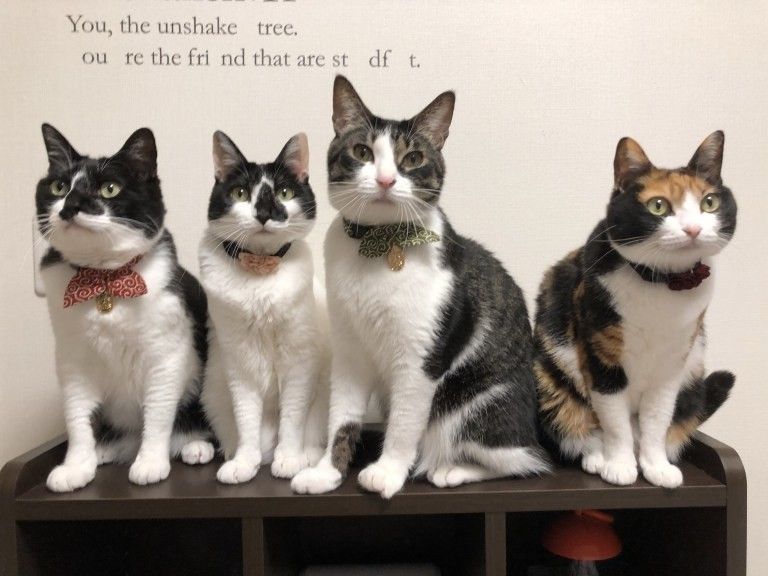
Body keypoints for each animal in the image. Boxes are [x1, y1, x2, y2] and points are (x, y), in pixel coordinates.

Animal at [36, 124, 213, 493]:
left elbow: (158, 413)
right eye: (59, 187)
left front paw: (150, 463)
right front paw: (76, 466)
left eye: (110, 188)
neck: (103, 280)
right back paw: (106, 448)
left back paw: (193, 444)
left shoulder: (165, 356)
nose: (70, 206)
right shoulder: (72, 360)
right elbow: (76, 417)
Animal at [199, 131, 329, 484]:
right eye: (240, 193)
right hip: (213, 391)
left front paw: (289, 458)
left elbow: (293, 417)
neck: (260, 270)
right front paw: (244, 462)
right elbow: (245, 418)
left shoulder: (299, 361)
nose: (264, 213)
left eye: (284, 192)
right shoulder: (238, 363)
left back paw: (304, 456)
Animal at [291, 76, 550, 499]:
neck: (378, 244)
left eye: (412, 158)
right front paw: (327, 471)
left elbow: (404, 421)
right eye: (362, 152)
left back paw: (450, 470)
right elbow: (342, 416)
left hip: (476, 404)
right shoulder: (349, 351)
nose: (385, 180)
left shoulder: (420, 357)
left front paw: (387, 472)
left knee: (522, 461)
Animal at [534, 132, 736, 488]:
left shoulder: (673, 364)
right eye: (658, 206)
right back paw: (598, 458)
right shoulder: (602, 356)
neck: (663, 285)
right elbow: (615, 422)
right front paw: (620, 465)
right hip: (551, 379)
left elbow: (658, 419)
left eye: (709, 203)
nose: (693, 229)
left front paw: (656, 467)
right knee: (581, 424)